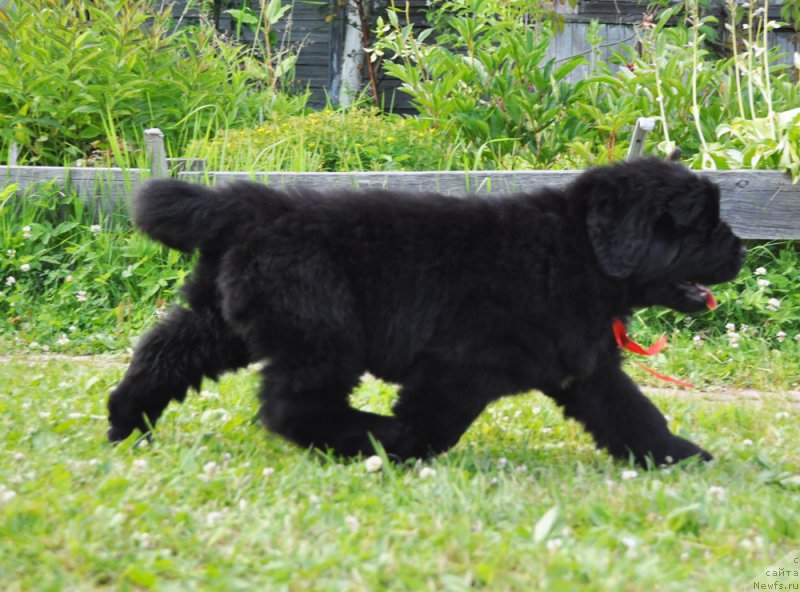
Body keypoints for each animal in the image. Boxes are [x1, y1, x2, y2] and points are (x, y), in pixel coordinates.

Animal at [106, 158, 744, 468]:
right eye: (703, 225)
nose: (739, 250)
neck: (578, 250)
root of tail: (251, 206)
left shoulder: (586, 370)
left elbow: (634, 415)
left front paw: (682, 458)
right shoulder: (457, 368)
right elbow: (433, 424)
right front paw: (400, 449)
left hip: (223, 321)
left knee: (166, 352)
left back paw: (125, 420)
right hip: (324, 333)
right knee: (291, 405)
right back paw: (368, 436)